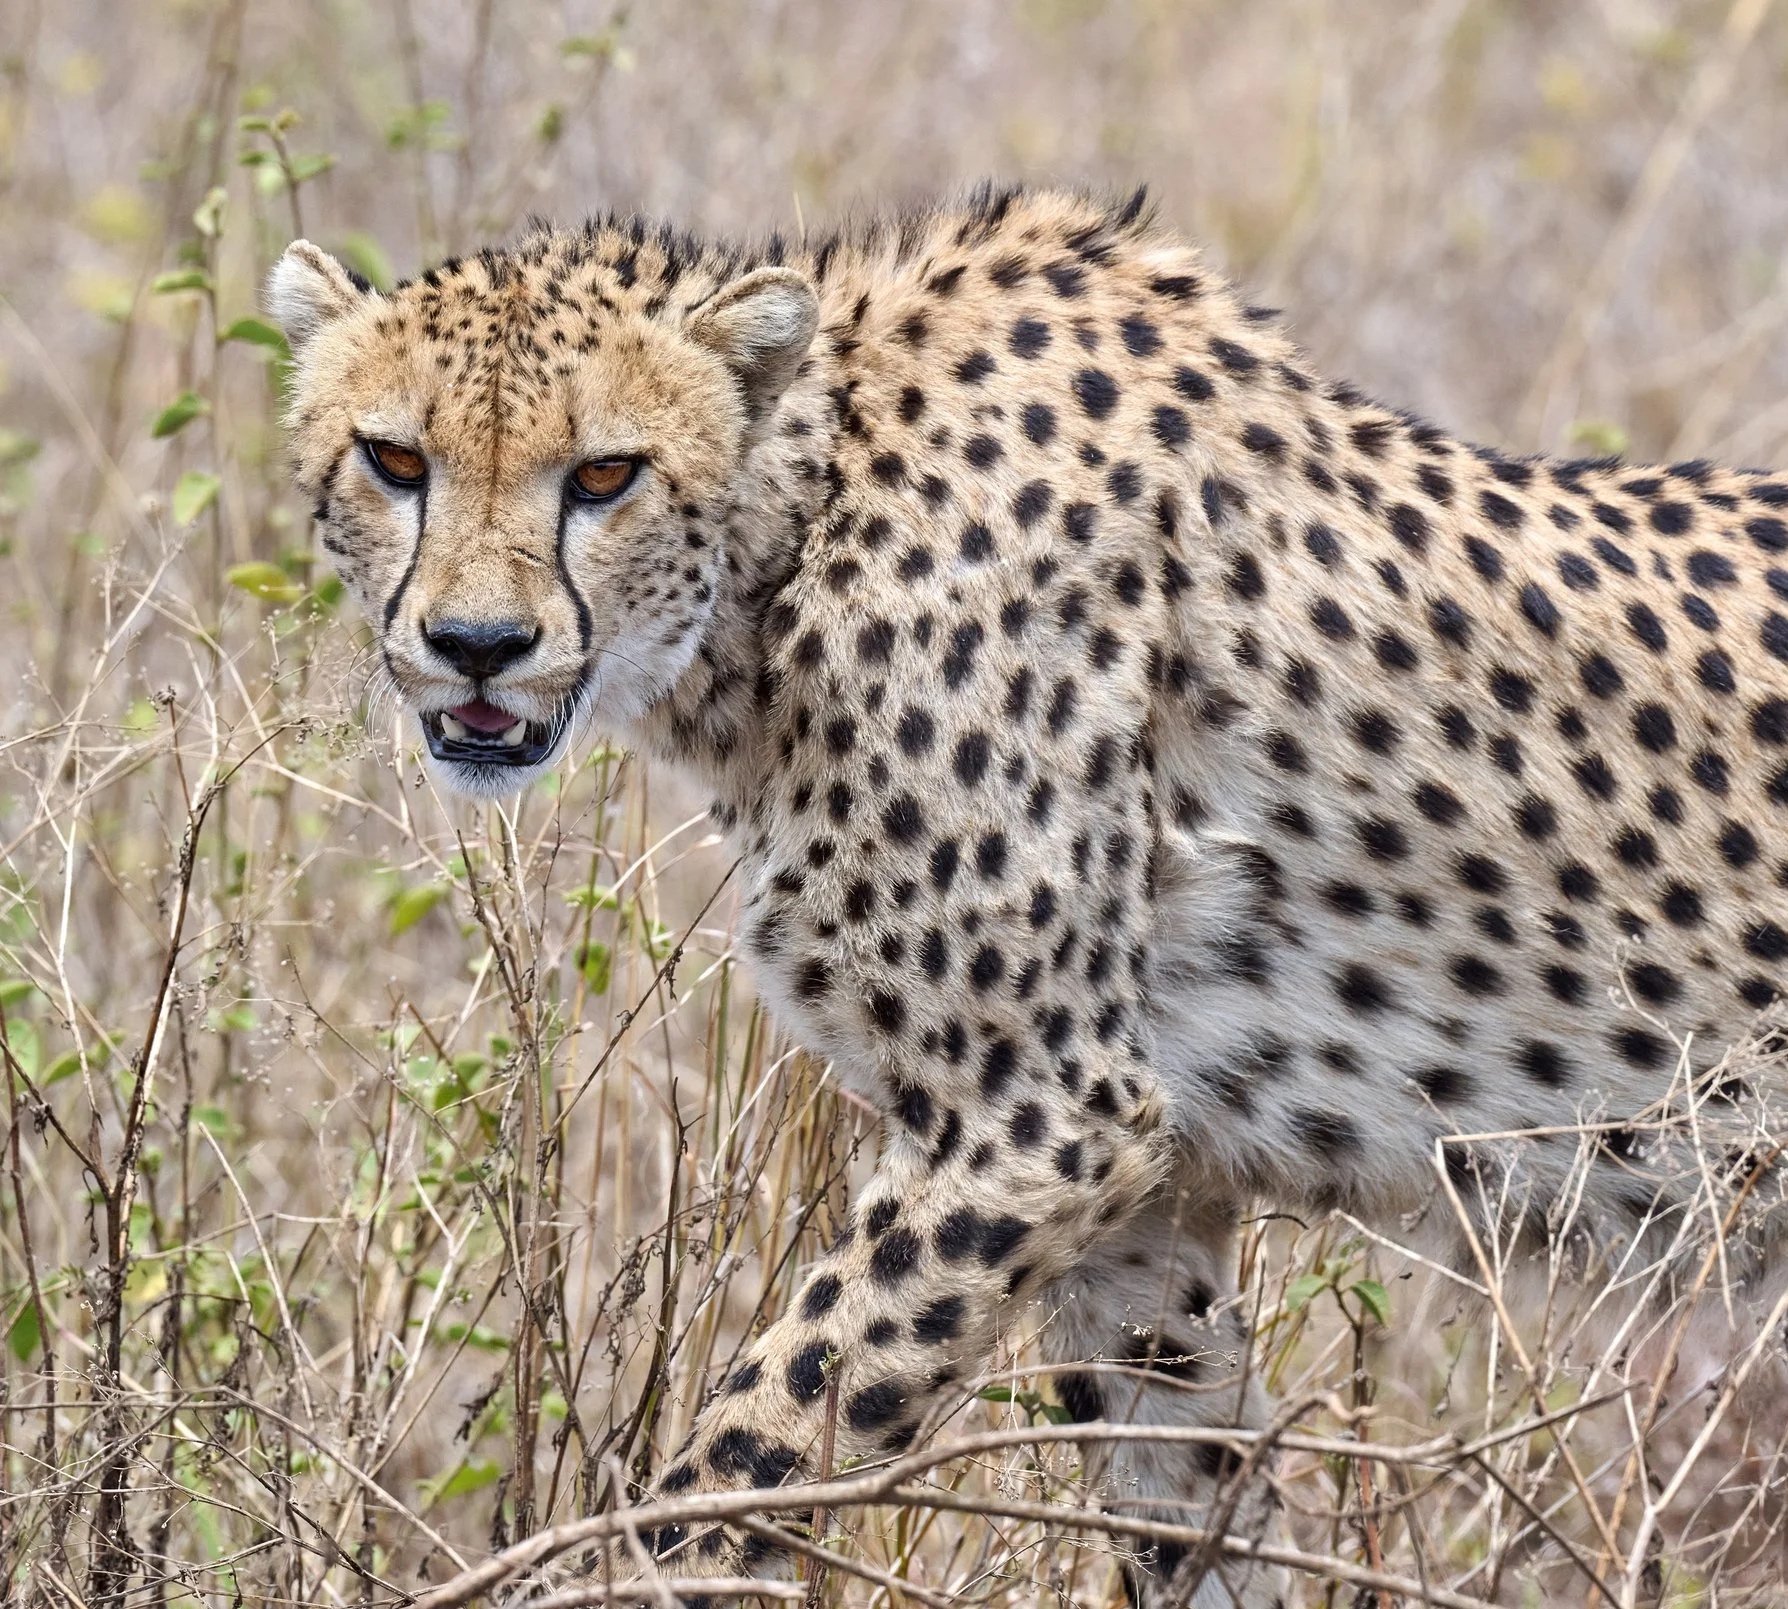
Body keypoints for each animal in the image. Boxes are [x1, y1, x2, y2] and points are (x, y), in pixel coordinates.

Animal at [268, 184, 1788, 1606]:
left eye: (605, 473)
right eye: (395, 460)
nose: (476, 644)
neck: (797, 534)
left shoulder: (1041, 1119)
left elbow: (742, 1458)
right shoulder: (1147, 1193)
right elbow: (1186, 1496)